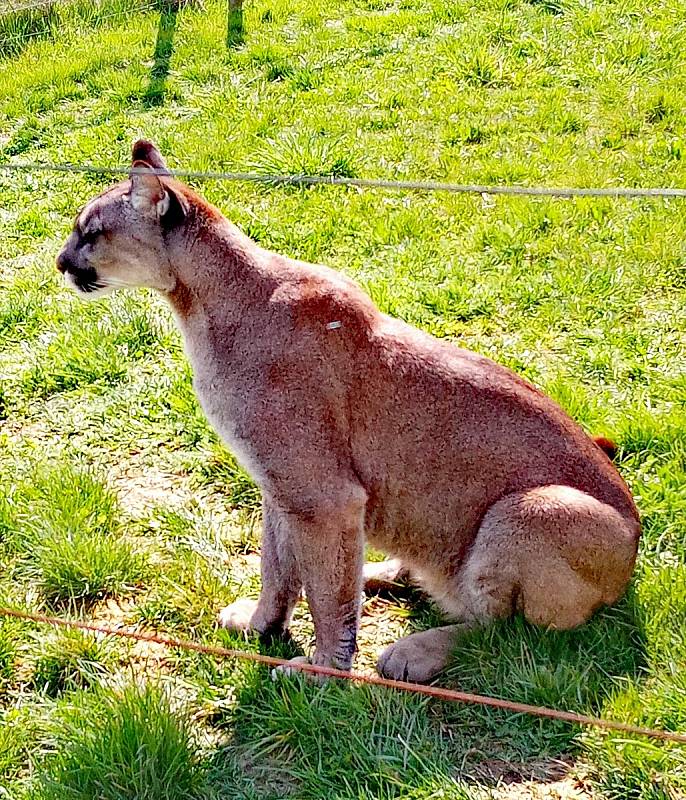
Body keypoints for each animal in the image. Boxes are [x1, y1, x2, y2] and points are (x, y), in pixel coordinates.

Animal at [56, 139, 644, 680]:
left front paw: (321, 670)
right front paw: (262, 625)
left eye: (90, 232)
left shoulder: (323, 496)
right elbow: (278, 566)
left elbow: (325, 598)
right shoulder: (281, 487)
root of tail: (636, 552)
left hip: (531, 509)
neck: (202, 302)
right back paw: (379, 572)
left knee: (504, 631)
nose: (61, 263)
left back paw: (413, 651)